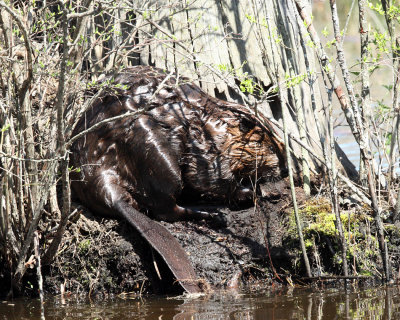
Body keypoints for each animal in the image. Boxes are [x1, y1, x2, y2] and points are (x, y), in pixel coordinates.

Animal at [69, 66, 288, 294]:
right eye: (270, 146)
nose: (285, 170)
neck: (214, 123)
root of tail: (112, 194)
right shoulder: (204, 146)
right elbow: (210, 179)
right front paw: (253, 192)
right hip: (156, 153)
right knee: (165, 209)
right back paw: (212, 214)